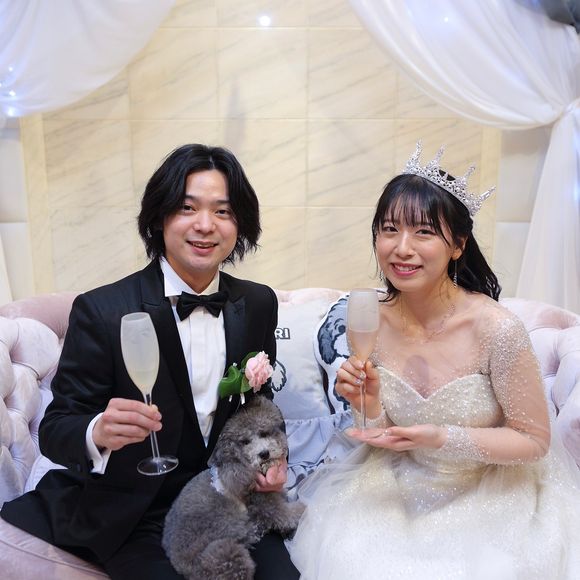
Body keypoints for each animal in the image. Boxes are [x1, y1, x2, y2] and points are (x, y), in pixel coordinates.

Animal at [162, 396, 304, 580]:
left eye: (264, 433)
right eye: (245, 442)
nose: (264, 454)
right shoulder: (266, 504)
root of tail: (179, 565)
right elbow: (289, 515)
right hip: (223, 553)